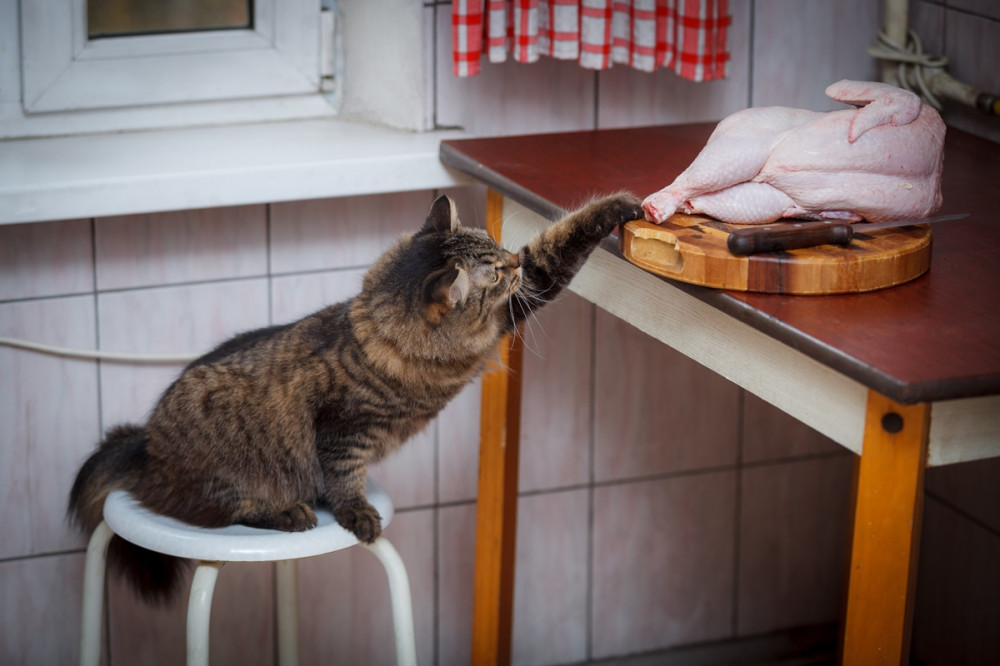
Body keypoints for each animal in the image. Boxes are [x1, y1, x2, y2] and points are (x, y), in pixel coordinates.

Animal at [72, 189, 648, 600]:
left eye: (502, 251)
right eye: (495, 273)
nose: (514, 263)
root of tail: (141, 445)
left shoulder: (524, 299)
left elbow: (564, 237)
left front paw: (624, 205)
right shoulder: (344, 429)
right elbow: (346, 480)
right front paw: (358, 516)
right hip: (223, 470)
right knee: (225, 509)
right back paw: (290, 514)